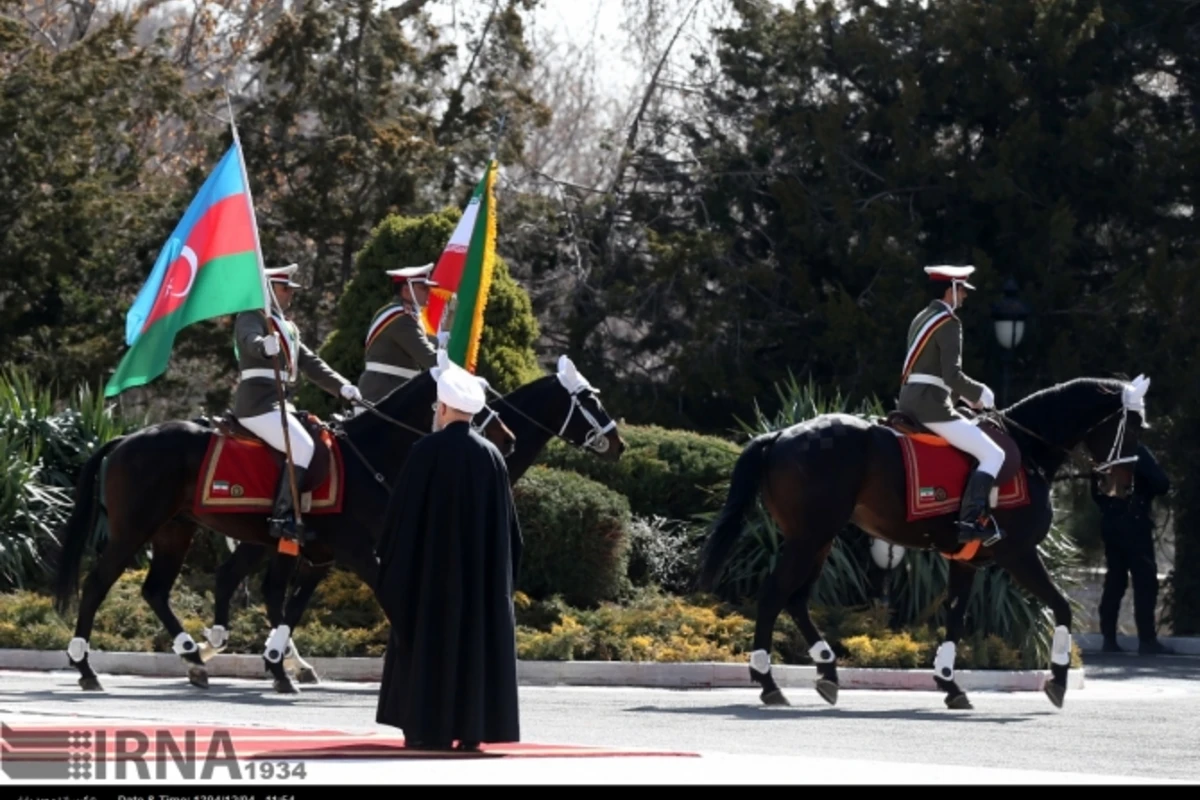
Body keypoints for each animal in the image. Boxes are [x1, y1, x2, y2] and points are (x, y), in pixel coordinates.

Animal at [50, 367, 516, 690]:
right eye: (476, 395)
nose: (508, 439)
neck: (365, 458)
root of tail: (125, 440)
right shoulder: (356, 552)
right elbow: (371, 593)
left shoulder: (317, 555)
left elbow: (288, 605)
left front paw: (279, 663)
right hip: (135, 530)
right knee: (97, 584)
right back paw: (86, 667)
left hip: (175, 531)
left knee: (157, 590)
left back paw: (194, 656)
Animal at [190, 352, 624, 690]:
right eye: (589, 399)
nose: (620, 444)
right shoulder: (364, 548)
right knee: (259, 586)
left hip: (264, 539)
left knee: (241, 580)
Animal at [700, 376, 1147, 714]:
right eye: (1134, 428)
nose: (1125, 486)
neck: (1029, 449)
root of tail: (780, 435)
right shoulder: (1018, 555)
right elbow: (1061, 607)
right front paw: (1057, 680)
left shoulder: (968, 561)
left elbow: (956, 618)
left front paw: (950, 684)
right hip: (809, 538)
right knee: (774, 595)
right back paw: (768, 682)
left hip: (817, 539)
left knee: (795, 600)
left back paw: (826, 671)